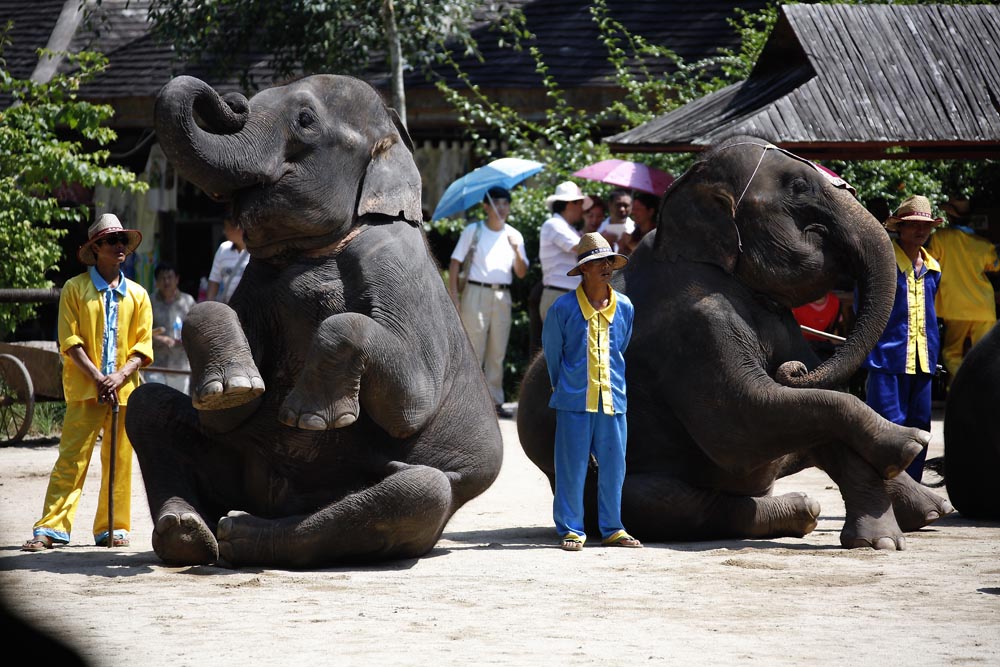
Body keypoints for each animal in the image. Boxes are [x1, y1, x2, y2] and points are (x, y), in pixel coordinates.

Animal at [125, 74, 503, 568]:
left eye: (305, 121)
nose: (232, 100)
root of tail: (277, 502)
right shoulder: (257, 280)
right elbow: (224, 407)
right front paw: (233, 389)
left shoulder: (395, 261)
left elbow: (411, 404)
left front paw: (309, 419)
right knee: (145, 406)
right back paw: (188, 535)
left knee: (420, 491)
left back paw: (240, 536)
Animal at [517, 135, 954, 551]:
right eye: (799, 187)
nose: (791, 370)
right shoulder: (692, 327)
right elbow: (743, 422)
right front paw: (911, 445)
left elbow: (818, 403)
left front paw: (878, 541)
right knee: (670, 503)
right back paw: (806, 511)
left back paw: (933, 511)